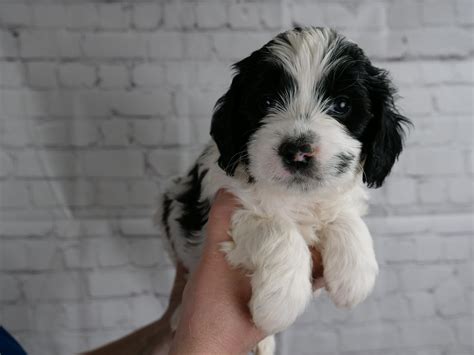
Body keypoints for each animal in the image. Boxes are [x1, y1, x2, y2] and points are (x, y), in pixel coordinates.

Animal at [158, 26, 408, 354]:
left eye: (342, 105)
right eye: (266, 101)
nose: (298, 151)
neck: (297, 197)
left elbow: (345, 216)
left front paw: (355, 275)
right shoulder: (226, 201)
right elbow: (276, 228)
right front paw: (278, 305)